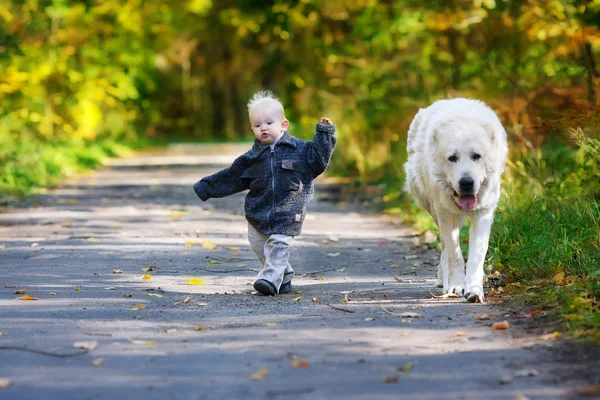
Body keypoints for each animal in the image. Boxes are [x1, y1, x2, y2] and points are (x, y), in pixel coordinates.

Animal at [404, 98, 506, 302]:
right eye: (452, 158)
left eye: (476, 156)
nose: (466, 182)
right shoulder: (444, 213)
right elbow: (455, 253)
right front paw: (456, 285)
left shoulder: (483, 214)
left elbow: (476, 255)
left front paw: (474, 290)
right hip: (437, 213)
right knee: (445, 247)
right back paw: (444, 281)